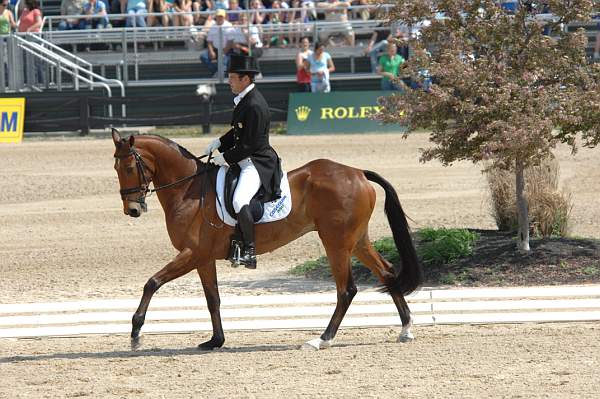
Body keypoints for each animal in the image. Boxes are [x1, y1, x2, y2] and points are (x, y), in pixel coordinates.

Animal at [111, 130, 422, 352]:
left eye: (128, 167)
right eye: (116, 168)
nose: (133, 210)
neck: (189, 189)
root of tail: (357, 172)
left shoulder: (192, 253)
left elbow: (152, 282)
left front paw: (135, 333)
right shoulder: (203, 258)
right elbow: (213, 299)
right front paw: (215, 341)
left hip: (336, 243)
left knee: (347, 290)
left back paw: (322, 339)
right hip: (356, 241)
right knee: (387, 273)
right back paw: (406, 329)